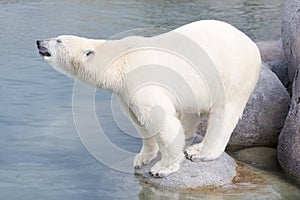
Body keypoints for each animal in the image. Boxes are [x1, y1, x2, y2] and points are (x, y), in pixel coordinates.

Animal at [35, 19, 260, 177]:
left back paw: (200, 152)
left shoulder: (141, 81)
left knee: (223, 115)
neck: (121, 60)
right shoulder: (124, 92)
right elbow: (139, 121)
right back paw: (189, 139)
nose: (39, 41)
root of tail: (253, 47)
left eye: (59, 40)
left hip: (230, 76)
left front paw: (162, 168)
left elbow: (160, 118)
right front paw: (142, 158)